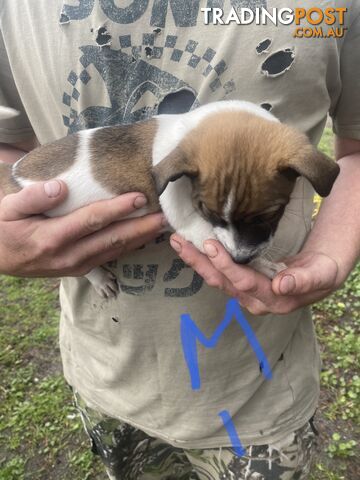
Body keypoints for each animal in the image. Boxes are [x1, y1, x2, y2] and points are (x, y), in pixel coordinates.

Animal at [0, 101, 338, 296]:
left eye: (268, 216)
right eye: (208, 214)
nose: (241, 260)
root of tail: (12, 174)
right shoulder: (191, 224)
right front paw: (262, 267)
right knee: (81, 266)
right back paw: (98, 279)